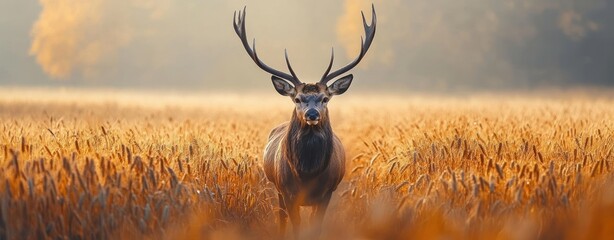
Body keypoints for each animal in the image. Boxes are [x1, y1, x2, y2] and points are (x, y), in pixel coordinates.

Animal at [232, 4, 376, 237]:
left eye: (325, 98)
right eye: (298, 98)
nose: (312, 114)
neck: (307, 173)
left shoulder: (327, 192)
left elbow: (315, 227)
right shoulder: (287, 191)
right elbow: (296, 226)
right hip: (278, 190)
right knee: (281, 219)